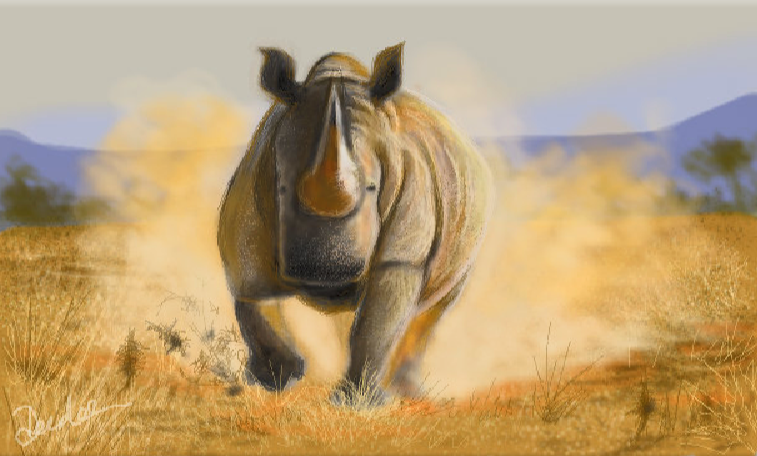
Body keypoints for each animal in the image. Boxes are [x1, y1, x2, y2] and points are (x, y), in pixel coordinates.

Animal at [217, 43, 493, 404]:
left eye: (373, 188)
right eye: (282, 188)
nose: (327, 274)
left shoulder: (403, 250)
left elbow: (377, 322)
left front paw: (357, 403)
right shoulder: (250, 198)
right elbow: (252, 294)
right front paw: (277, 380)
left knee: (433, 309)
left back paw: (409, 395)